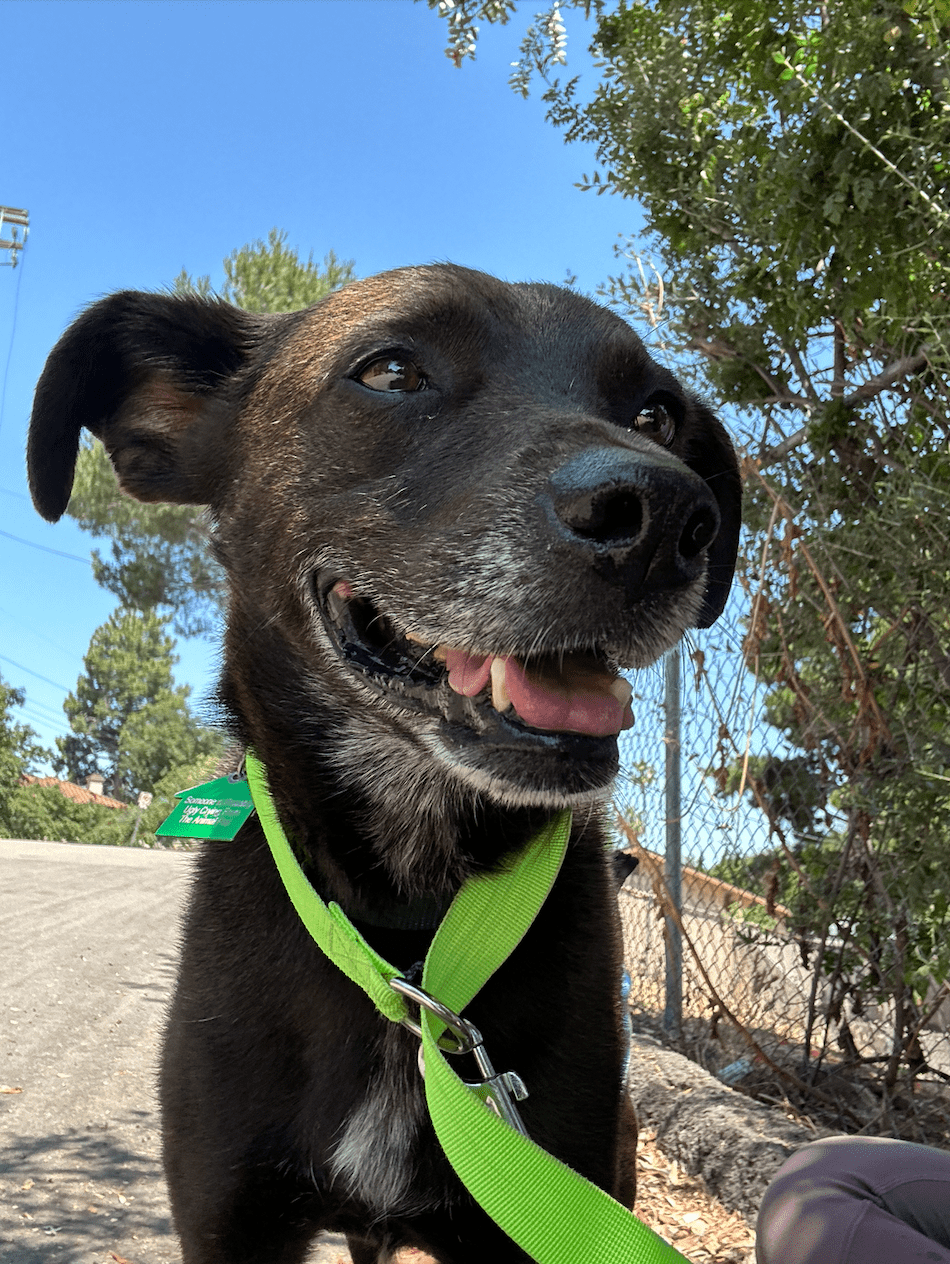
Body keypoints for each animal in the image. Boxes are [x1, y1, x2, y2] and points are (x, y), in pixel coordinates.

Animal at [27, 261, 742, 1258]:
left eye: (656, 414)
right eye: (392, 371)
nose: (669, 515)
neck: (407, 943)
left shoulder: (545, 1203)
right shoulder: (227, 1217)